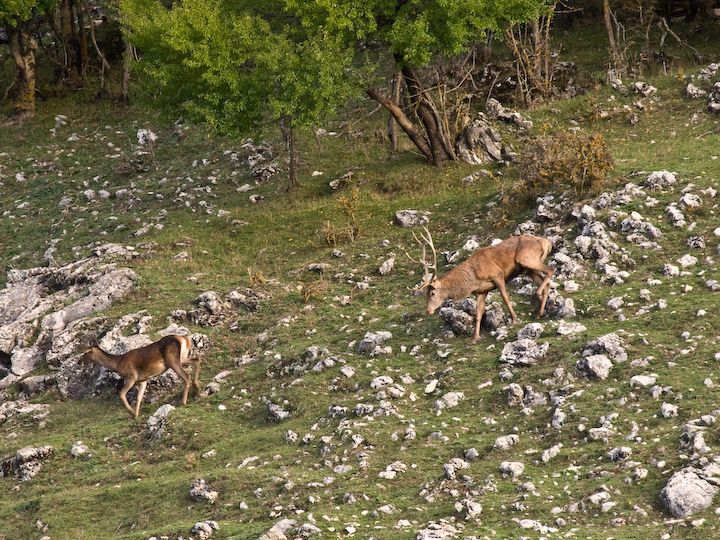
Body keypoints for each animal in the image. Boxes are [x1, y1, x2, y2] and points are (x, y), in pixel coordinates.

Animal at [408, 228, 556, 342]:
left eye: (432, 293)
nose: (428, 310)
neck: (473, 278)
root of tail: (547, 242)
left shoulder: (497, 274)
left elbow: (505, 298)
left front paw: (514, 319)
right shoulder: (481, 291)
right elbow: (478, 313)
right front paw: (475, 337)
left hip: (526, 259)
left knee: (550, 270)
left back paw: (537, 294)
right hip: (528, 269)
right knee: (546, 282)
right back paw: (540, 312)